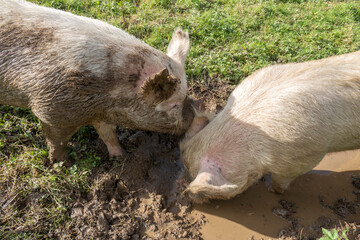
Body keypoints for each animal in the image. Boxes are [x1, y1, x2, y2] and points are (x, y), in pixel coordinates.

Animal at [0, 0, 197, 163]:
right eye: (173, 104)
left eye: (186, 93)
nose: (195, 113)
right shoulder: (50, 109)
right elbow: (57, 141)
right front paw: (61, 163)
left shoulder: (102, 114)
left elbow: (108, 134)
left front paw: (120, 157)